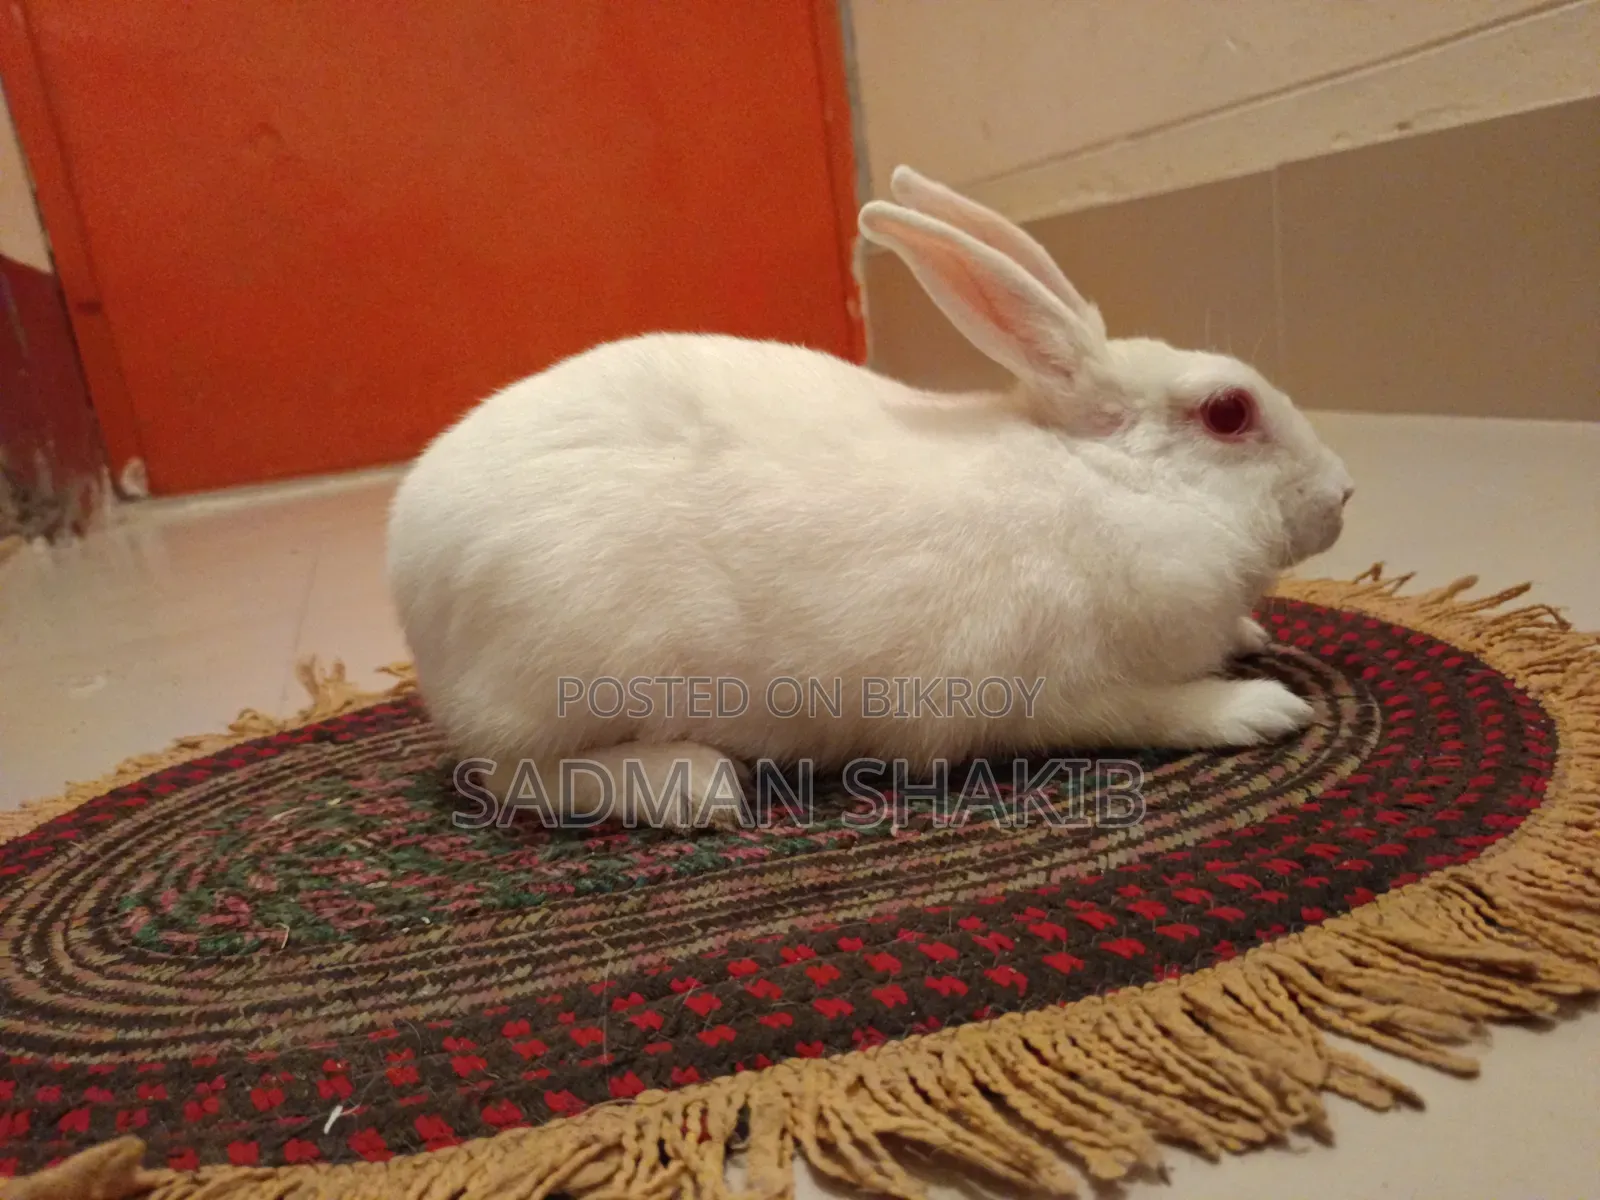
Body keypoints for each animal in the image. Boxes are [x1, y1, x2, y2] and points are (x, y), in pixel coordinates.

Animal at [386, 165, 1354, 831]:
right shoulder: (1056, 690)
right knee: (512, 775)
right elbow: (1152, 710)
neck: (1104, 483)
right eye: (1228, 412)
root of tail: (411, 564)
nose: (1343, 492)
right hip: (568, 680)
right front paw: (1261, 707)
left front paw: (1252, 636)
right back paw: (695, 787)